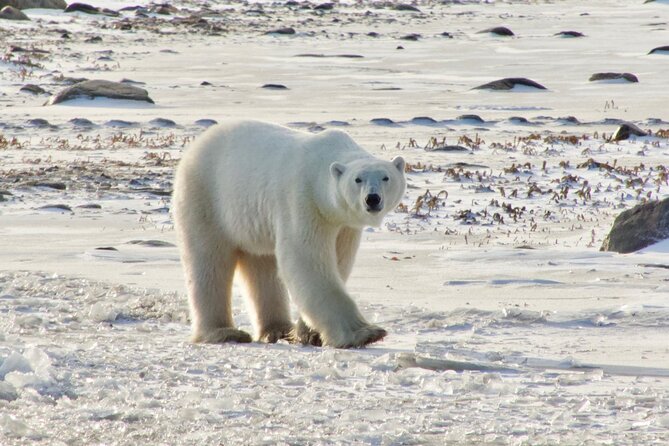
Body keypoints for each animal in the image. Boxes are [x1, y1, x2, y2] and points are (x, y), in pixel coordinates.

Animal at [172, 120, 406, 348]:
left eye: (386, 177)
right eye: (357, 179)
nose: (372, 199)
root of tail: (196, 145)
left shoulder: (344, 224)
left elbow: (339, 261)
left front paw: (310, 333)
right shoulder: (304, 200)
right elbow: (306, 259)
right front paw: (365, 333)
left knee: (261, 263)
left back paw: (277, 329)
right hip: (206, 198)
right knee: (208, 261)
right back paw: (224, 332)